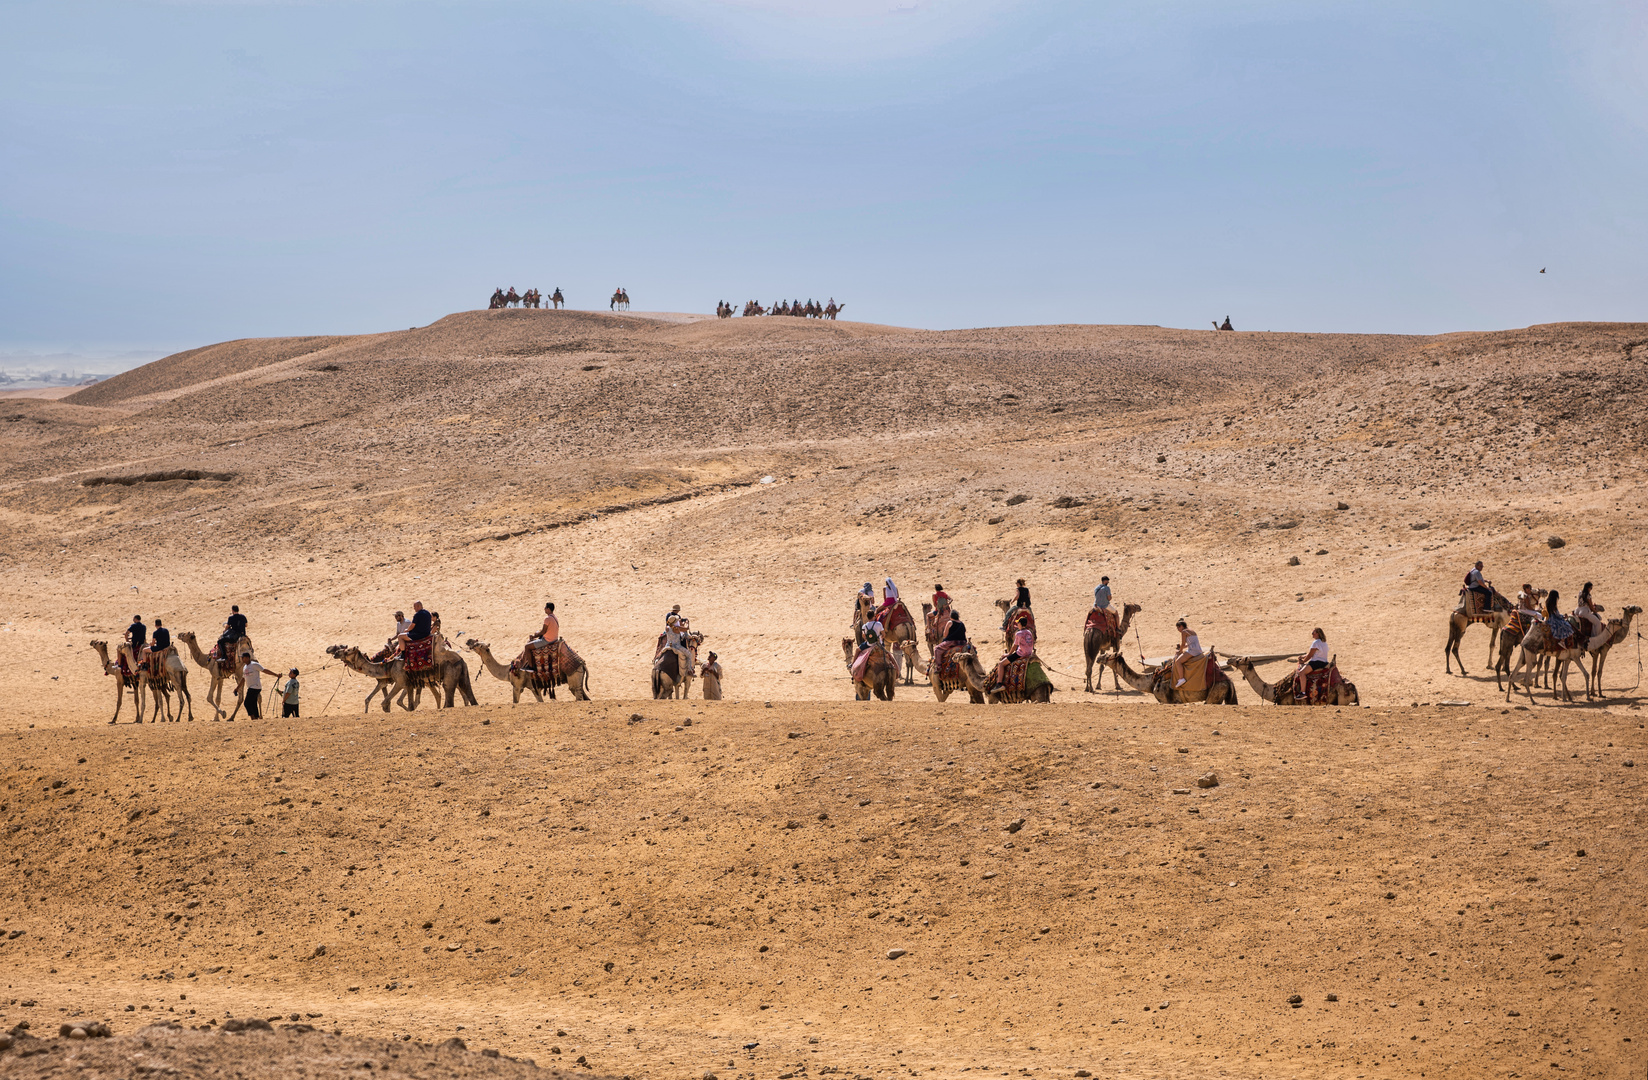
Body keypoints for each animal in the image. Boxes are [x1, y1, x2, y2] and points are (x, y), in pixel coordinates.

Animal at [323, 646, 474, 715]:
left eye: (347, 650)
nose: (335, 653)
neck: (387, 665)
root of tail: (461, 659)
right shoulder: (391, 682)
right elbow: (370, 698)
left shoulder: (400, 682)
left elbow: (388, 702)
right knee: (446, 694)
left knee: (451, 692)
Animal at [464, 636, 593, 705]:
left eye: (477, 644)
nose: (468, 641)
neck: (508, 671)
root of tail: (582, 663)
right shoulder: (533, 687)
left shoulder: (519, 686)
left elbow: (516, 702)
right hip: (578, 679)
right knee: (584, 696)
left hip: (573, 676)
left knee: (578, 695)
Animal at [1100, 649, 1232, 709]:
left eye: (1109, 655)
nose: (1099, 657)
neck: (1151, 681)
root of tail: (1228, 680)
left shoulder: (1167, 700)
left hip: (1216, 691)